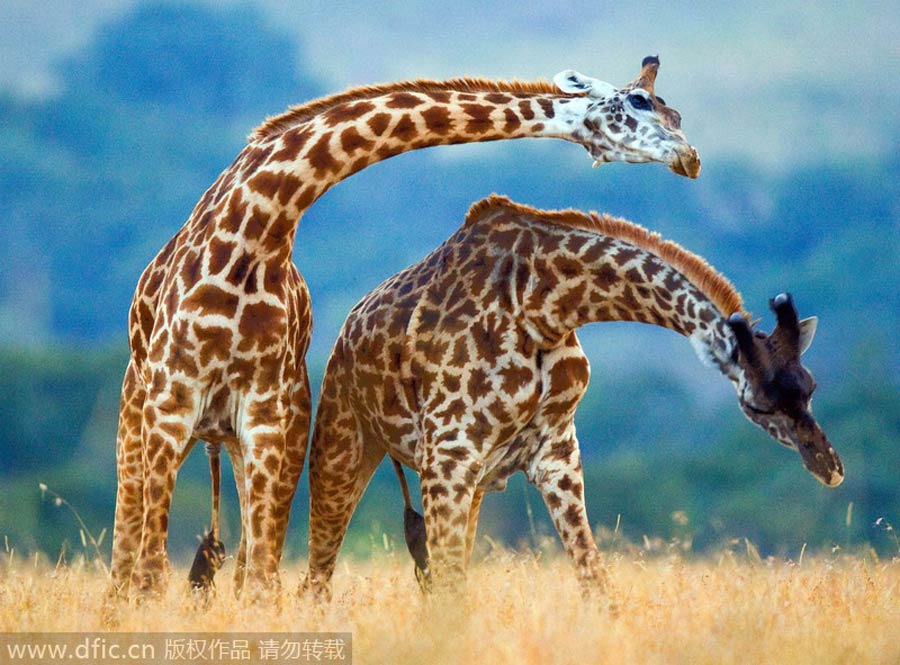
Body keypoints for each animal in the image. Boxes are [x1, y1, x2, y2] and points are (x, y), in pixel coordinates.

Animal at [110, 55, 704, 596]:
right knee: (126, 562)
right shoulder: (171, 404)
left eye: (677, 113)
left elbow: (259, 578)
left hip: (261, 435)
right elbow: (150, 574)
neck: (257, 234)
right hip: (143, 419)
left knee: (250, 570)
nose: (690, 156)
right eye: (639, 102)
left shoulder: (266, 417)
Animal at [304, 195, 844, 600]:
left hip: (469, 481)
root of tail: (344, 334)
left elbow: (594, 578)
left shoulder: (555, 453)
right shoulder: (449, 453)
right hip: (343, 447)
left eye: (811, 386)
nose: (831, 468)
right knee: (317, 575)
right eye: (757, 404)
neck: (545, 304)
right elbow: (452, 588)